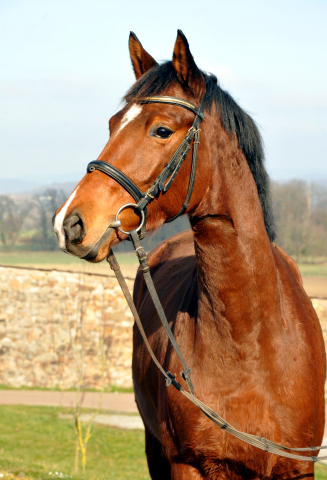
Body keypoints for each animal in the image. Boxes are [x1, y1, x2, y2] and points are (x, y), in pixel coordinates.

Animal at [53, 31, 326, 478]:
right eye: (112, 124)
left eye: (162, 130)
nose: (69, 222)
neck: (254, 345)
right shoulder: (189, 464)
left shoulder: (298, 468)